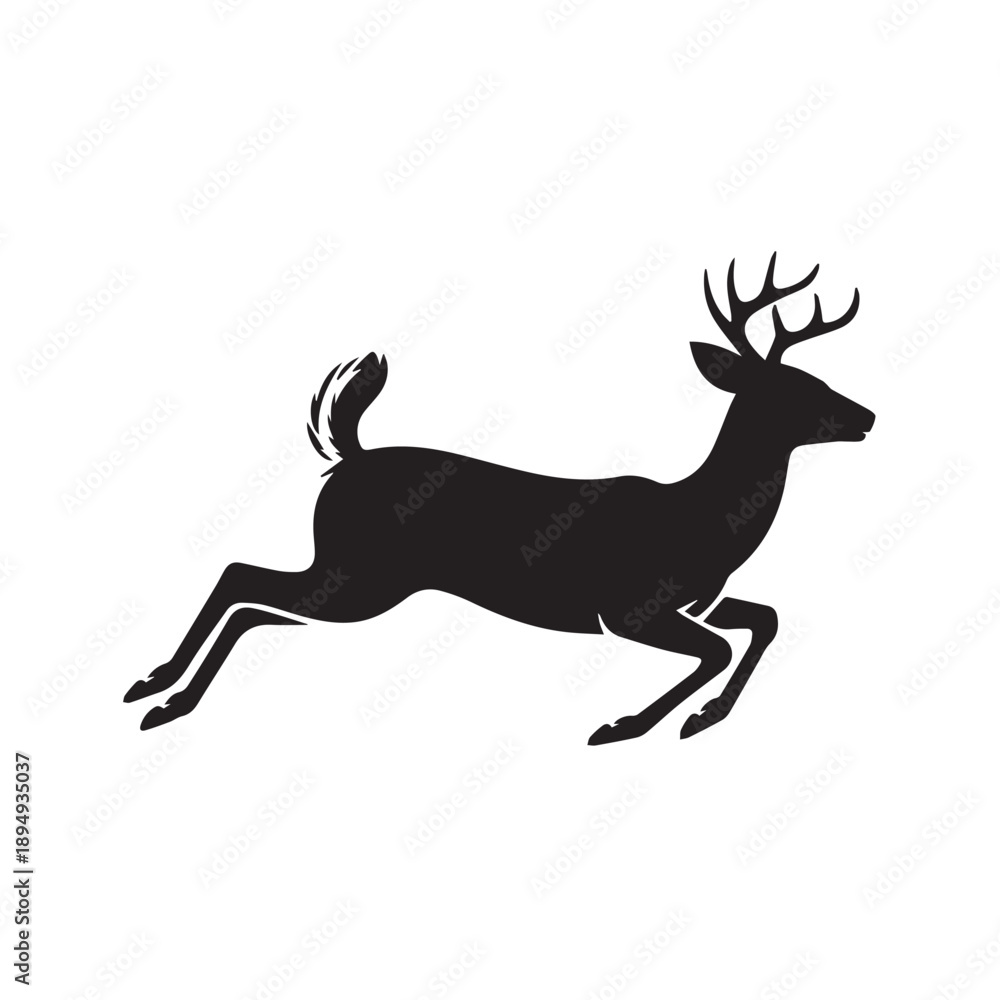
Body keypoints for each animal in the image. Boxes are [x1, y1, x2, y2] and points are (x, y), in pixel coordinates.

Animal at [125, 254, 874, 741]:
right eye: (797, 389)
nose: (867, 416)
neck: (706, 520)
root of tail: (350, 457)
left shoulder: (699, 601)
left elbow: (764, 620)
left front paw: (703, 718)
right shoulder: (628, 606)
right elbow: (717, 650)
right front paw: (627, 725)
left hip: (360, 579)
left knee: (251, 594)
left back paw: (157, 688)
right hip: (362, 575)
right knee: (241, 576)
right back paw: (160, 694)